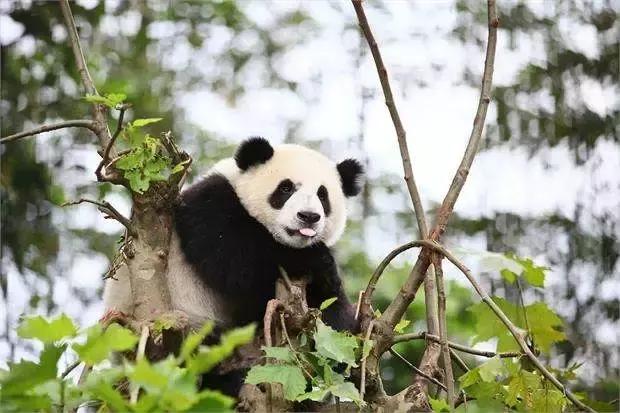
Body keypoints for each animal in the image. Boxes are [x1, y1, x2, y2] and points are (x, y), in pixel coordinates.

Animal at [102, 138, 364, 334]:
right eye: (286, 188)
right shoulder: (209, 204)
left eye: (322, 195)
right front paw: (317, 259)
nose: (308, 216)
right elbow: (237, 262)